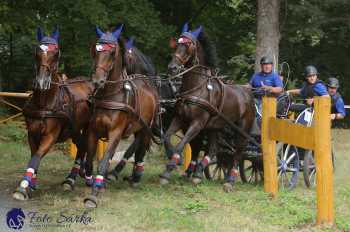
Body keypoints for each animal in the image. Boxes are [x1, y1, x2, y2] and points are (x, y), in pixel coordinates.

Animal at [13, 27, 93, 200]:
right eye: (37, 51)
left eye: (56, 53)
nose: (41, 82)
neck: (44, 103)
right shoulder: (32, 133)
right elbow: (33, 156)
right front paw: (31, 184)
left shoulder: (50, 135)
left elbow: (36, 157)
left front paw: (22, 187)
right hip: (74, 128)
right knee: (81, 145)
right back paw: (74, 176)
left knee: (86, 146)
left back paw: (76, 178)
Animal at [82, 25, 159, 208]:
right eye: (96, 50)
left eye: (112, 53)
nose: (97, 81)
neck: (110, 95)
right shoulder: (93, 130)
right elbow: (89, 160)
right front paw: (91, 181)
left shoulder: (115, 132)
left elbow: (104, 162)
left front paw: (93, 195)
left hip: (146, 126)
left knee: (140, 146)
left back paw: (134, 176)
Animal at [160, 24, 256, 192]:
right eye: (176, 45)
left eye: (188, 46)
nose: (172, 68)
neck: (197, 88)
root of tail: (247, 92)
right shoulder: (180, 119)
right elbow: (167, 138)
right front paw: (173, 160)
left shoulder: (197, 123)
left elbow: (181, 145)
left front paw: (170, 168)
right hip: (215, 127)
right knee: (214, 149)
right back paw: (198, 174)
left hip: (242, 129)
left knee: (238, 152)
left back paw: (230, 181)